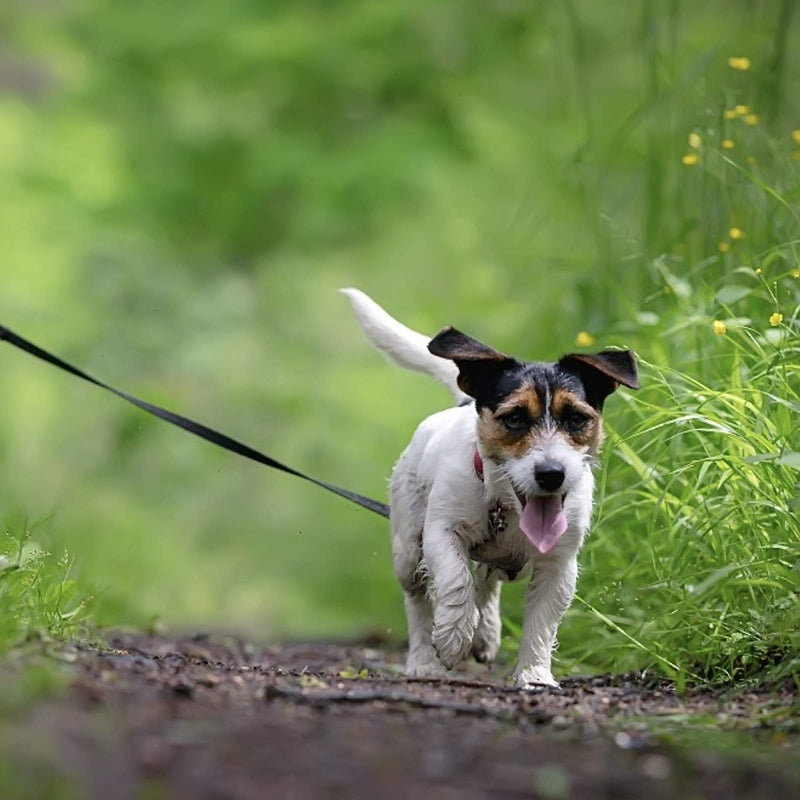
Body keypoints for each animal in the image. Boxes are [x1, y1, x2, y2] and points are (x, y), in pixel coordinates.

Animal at [340, 290, 640, 688]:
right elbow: (455, 581)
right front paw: (452, 638)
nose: (551, 474)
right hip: (406, 547)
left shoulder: (559, 563)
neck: (505, 506)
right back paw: (425, 660)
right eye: (513, 418)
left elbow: (542, 622)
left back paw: (485, 634)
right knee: (419, 598)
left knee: (487, 582)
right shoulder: (441, 532)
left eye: (576, 418)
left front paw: (534, 674)